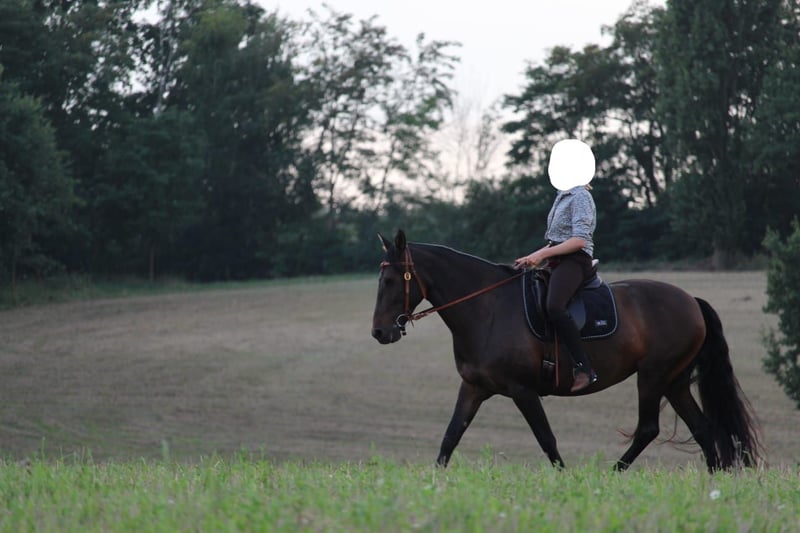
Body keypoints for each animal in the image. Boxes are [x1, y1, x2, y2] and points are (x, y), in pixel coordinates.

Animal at [371, 230, 761, 471]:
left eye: (390, 281)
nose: (379, 332)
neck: (488, 309)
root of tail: (691, 301)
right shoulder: (474, 387)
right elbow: (451, 436)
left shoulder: (522, 390)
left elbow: (547, 439)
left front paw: (565, 479)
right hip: (674, 381)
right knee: (703, 428)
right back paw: (712, 483)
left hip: (653, 377)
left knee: (649, 428)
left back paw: (612, 475)